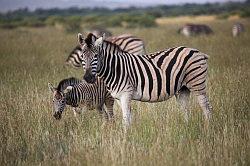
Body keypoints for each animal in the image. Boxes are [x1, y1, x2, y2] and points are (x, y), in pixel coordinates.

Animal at [77, 33, 212, 127]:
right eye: (82, 56)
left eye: (96, 56)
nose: (88, 78)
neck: (115, 68)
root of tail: (198, 52)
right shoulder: (120, 98)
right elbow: (128, 118)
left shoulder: (126, 94)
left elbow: (125, 120)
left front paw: (125, 140)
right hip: (182, 89)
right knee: (185, 110)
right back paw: (186, 129)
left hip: (197, 82)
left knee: (206, 107)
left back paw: (208, 129)